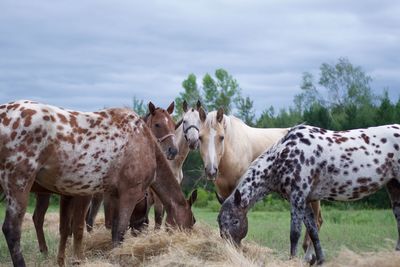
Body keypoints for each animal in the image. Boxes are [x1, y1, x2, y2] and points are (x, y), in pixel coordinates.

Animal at [0, 100, 195, 267]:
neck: (146, 143)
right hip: (19, 183)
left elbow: (112, 231)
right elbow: (118, 232)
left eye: (174, 125)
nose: (172, 151)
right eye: (192, 221)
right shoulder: (129, 194)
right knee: (12, 230)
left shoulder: (113, 196)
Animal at [198, 108, 324, 264]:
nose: (211, 170)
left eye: (221, 137)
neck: (233, 150)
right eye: (200, 137)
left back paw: (309, 256)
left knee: (317, 222)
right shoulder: (224, 192)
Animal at [219, 125, 400, 266]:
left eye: (235, 221)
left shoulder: (297, 198)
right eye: (220, 223)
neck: (284, 155)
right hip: (393, 186)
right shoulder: (305, 201)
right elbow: (313, 232)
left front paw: (292, 260)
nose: (230, 251)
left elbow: (295, 233)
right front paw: (320, 260)